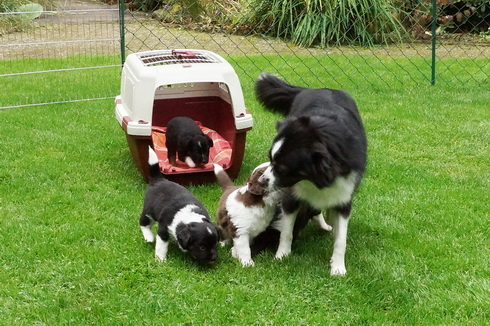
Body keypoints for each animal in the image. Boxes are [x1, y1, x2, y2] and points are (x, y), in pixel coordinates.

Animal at [115, 49, 253, 185]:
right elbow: (187, 158)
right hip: (170, 143)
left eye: (207, 150)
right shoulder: (181, 151)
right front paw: (191, 164)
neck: (192, 136)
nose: (204, 161)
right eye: (196, 151)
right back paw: (174, 164)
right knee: (171, 155)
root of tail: (175, 118)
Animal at [255, 73, 366, 276]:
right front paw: (282, 256)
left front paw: (338, 267)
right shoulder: (291, 195)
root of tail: (315, 88)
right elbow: (287, 231)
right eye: (270, 159)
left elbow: (341, 239)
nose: (260, 182)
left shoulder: (344, 194)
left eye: (282, 168)